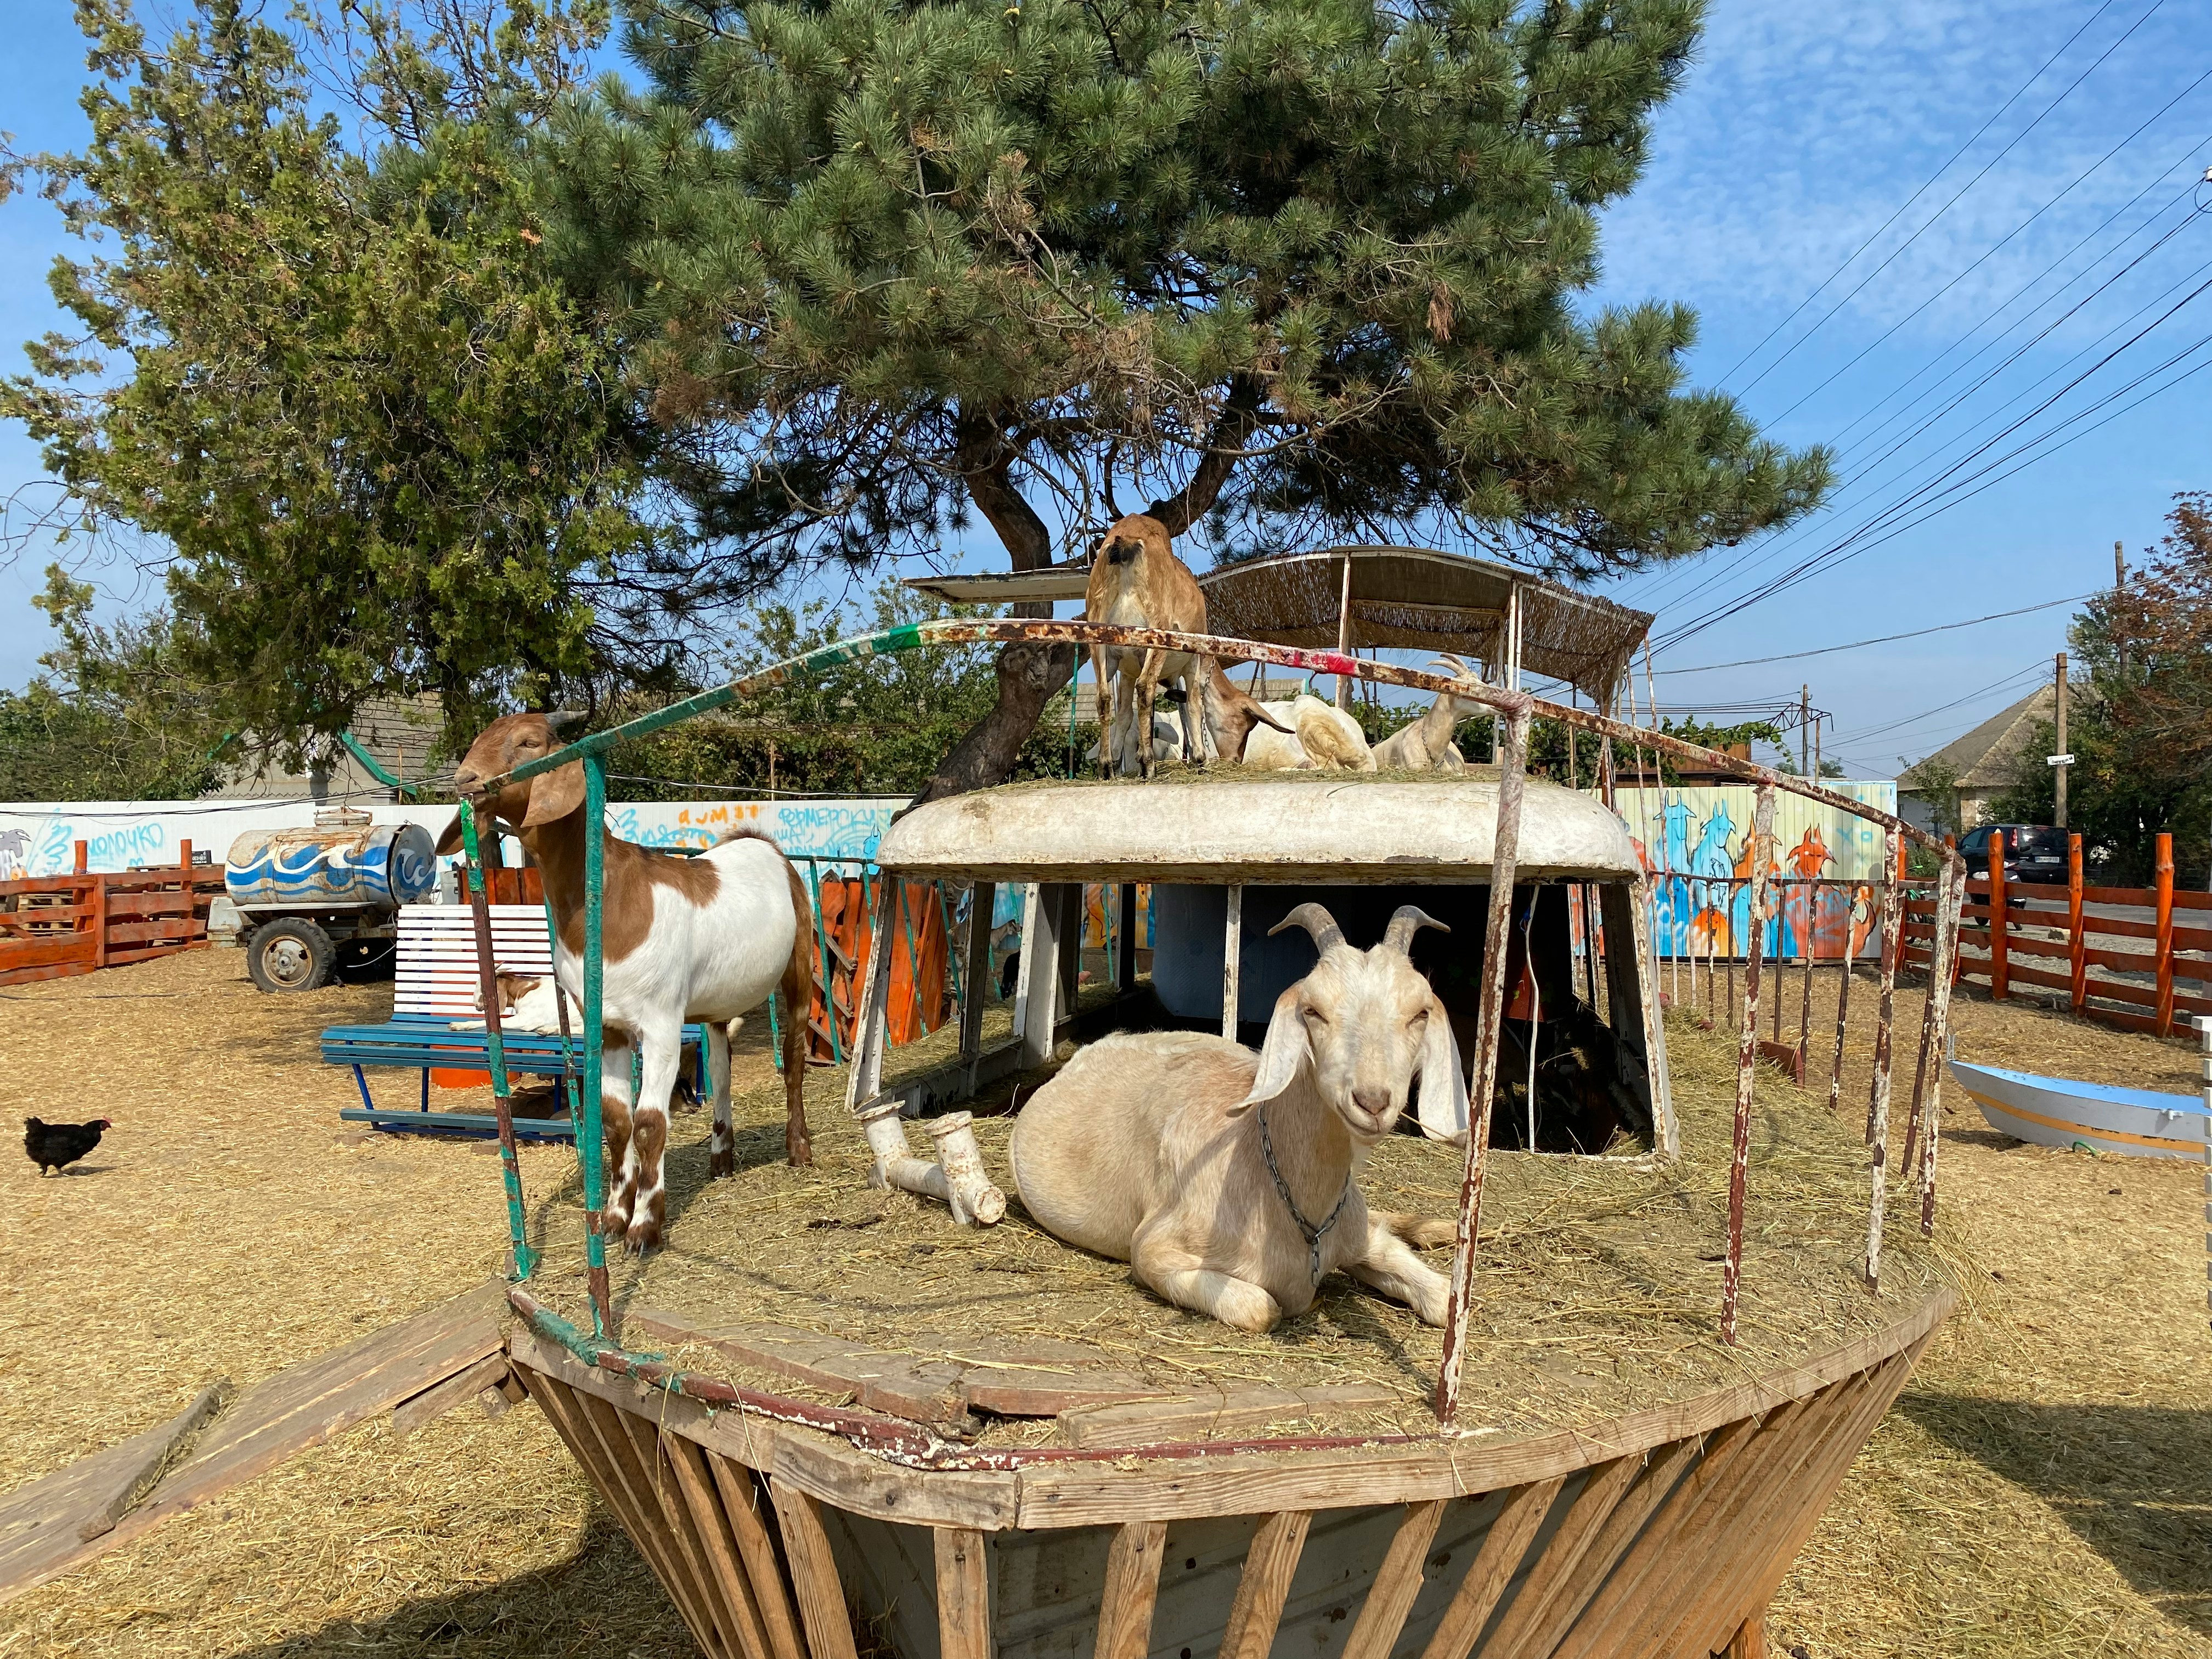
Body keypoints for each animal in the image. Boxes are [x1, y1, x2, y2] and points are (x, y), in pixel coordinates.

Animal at [438, 713, 815, 1253]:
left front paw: (644, 1226)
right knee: (721, 1067)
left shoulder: (660, 1021)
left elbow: (650, 1123)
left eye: (529, 742)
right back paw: (721, 1157)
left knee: (794, 1057)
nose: (465, 780)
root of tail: (762, 844)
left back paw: (799, 1149)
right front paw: (615, 1216)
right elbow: (617, 1120)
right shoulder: (609, 1025)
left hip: (800, 962)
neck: (609, 894)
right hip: (715, 1004)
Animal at [1008, 903, 1465, 1332]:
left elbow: (1443, 1297)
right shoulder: (1154, 1250)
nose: (1371, 1101)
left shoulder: (1356, 1232)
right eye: (1313, 1010)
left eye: (1421, 1013)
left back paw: (1437, 1228)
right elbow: (1263, 1309)